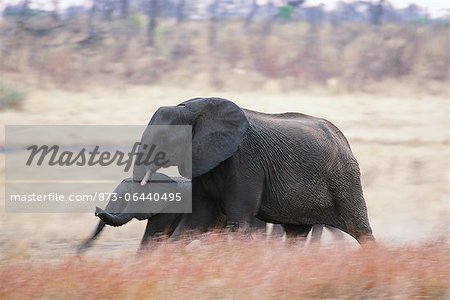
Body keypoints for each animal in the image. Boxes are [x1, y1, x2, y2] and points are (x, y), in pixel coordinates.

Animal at [135, 96, 374, 244]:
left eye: (164, 137)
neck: (196, 108)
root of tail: (343, 139)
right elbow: (196, 218)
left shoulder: (244, 159)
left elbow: (239, 218)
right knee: (296, 234)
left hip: (344, 178)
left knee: (360, 230)